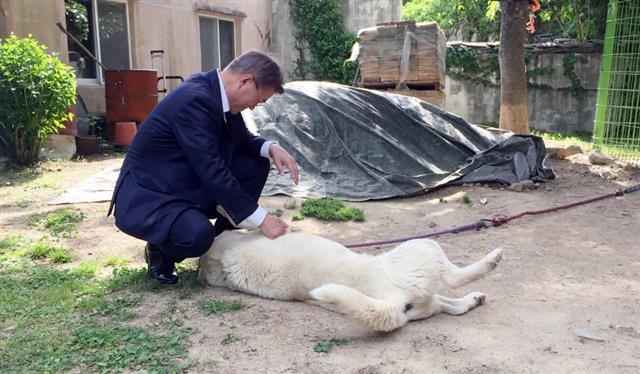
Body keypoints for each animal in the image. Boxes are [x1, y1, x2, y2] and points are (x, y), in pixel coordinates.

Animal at [198, 231, 502, 334]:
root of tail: (395, 301)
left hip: (427, 298)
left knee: (453, 306)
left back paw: (475, 298)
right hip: (424, 247)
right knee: (456, 276)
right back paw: (493, 259)